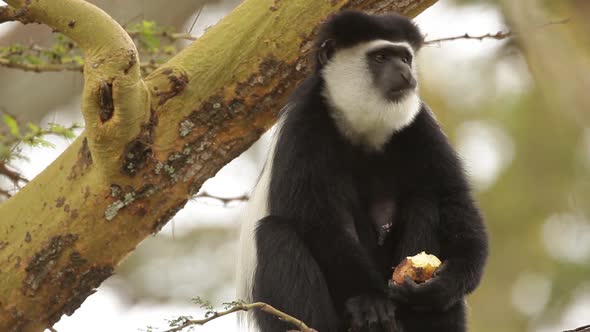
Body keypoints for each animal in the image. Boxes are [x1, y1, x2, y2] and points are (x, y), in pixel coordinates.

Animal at [237, 10, 490, 332]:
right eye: (381, 57)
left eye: (405, 57)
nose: (406, 73)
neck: (363, 128)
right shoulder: (305, 125)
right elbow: (318, 220)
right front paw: (370, 300)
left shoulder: (418, 123)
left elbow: (452, 198)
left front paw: (444, 284)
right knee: (275, 234)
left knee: (426, 201)